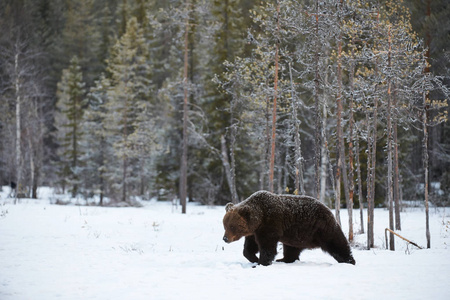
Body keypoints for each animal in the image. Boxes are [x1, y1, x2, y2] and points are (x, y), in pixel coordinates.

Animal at [221, 191, 356, 266]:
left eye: (232, 226)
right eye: (224, 225)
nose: (225, 238)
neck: (260, 218)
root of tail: (329, 210)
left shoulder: (270, 224)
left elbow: (267, 247)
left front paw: (261, 262)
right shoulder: (254, 231)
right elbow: (250, 247)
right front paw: (254, 258)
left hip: (322, 229)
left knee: (337, 244)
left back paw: (349, 261)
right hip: (296, 236)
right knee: (291, 249)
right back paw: (283, 259)